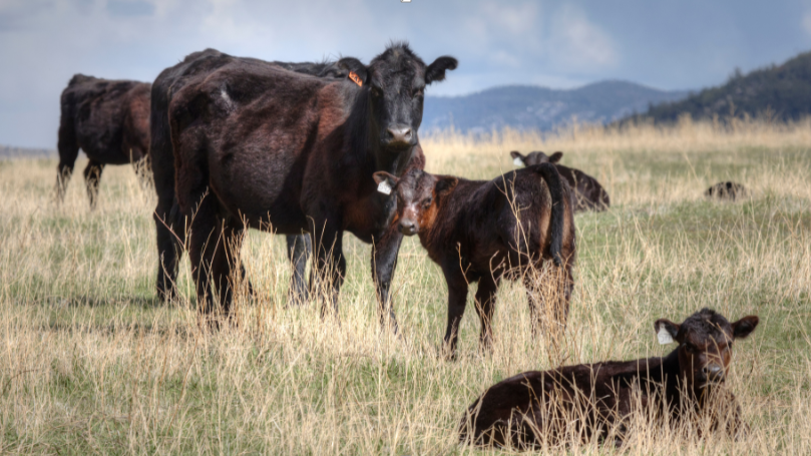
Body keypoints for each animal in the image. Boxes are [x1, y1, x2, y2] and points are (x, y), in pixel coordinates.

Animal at [56, 74, 151, 209]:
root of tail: (80, 78)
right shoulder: (138, 154)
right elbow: (149, 185)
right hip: (67, 140)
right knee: (64, 173)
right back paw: (58, 207)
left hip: (98, 153)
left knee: (90, 175)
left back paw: (93, 210)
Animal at [149, 44, 457, 329]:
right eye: (376, 90)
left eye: (419, 90)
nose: (398, 133)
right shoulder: (323, 214)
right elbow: (329, 269)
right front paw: (330, 324)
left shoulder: (395, 222)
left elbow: (382, 273)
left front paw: (391, 330)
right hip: (193, 193)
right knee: (198, 251)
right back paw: (206, 316)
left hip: (227, 208)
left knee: (222, 257)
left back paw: (229, 319)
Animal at [372, 164, 576, 357]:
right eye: (398, 197)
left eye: (427, 200)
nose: (407, 225)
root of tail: (535, 168)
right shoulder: (490, 270)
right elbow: (484, 305)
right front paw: (486, 349)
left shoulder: (454, 266)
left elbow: (456, 307)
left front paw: (448, 351)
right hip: (565, 252)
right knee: (562, 290)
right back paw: (558, 335)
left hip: (529, 257)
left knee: (539, 295)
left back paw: (538, 340)